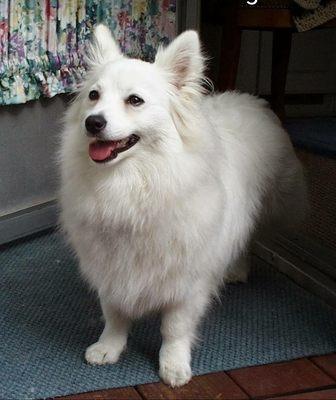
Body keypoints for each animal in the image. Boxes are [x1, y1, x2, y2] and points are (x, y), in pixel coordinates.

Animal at [59, 25, 306, 388]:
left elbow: (174, 328)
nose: (93, 122)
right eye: (93, 96)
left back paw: (237, 268)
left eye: (135, 100)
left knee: (249, 236)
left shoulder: (188, 281)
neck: (132, 183)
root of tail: (252, 99)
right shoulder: (110, 266)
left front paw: (173, 365)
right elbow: (114, 314)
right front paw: (109, 348)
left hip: (272, 208)